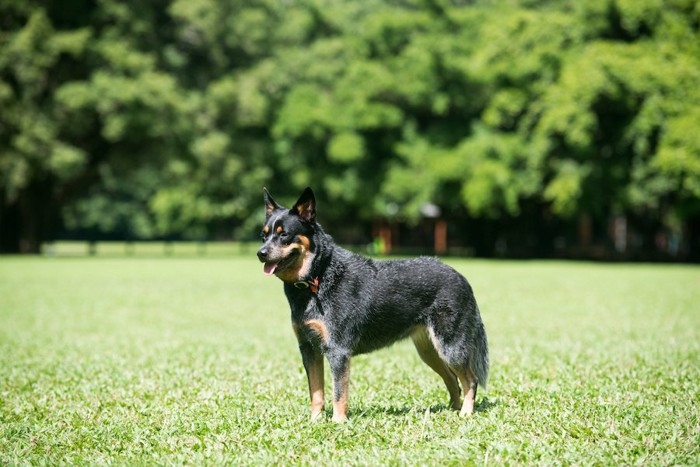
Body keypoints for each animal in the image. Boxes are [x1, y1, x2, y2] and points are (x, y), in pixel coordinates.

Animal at [254, 188, 490, 422]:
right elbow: (316, 392)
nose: (260, 253)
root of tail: (461, 277)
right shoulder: (308, 348)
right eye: (264, 235)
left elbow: (338, 393)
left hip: (450, 348)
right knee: (452, 380)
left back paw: (465, 414)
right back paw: (452, 411)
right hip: (430, 351)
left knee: (471, 379)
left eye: (284, 234)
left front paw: (338, 422)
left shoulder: (337, 350)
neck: (318, 277)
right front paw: (315, 422)